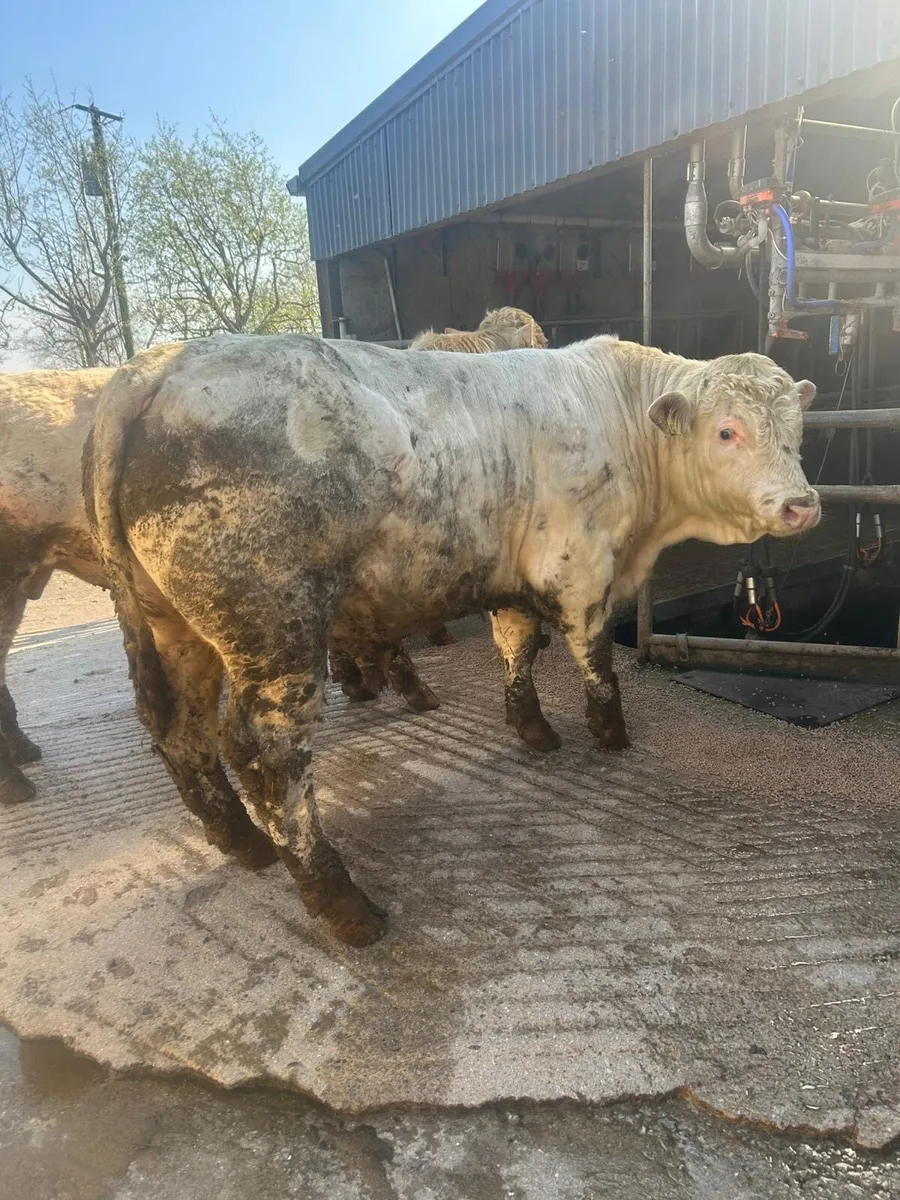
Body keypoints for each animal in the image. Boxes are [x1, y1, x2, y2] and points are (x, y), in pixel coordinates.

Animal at [85, 333, 819, 946]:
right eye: (727, 430)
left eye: (798, 431)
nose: (801, 503)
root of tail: (162, 363)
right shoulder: (580, 569)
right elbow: (596, 659)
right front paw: (610, 733)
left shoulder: (514, 579)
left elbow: (518, 649)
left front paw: (533, 728)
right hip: (276, 634)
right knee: (269, 758)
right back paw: (342, 903)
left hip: (178, 633)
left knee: (182, 731)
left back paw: (243, 844)